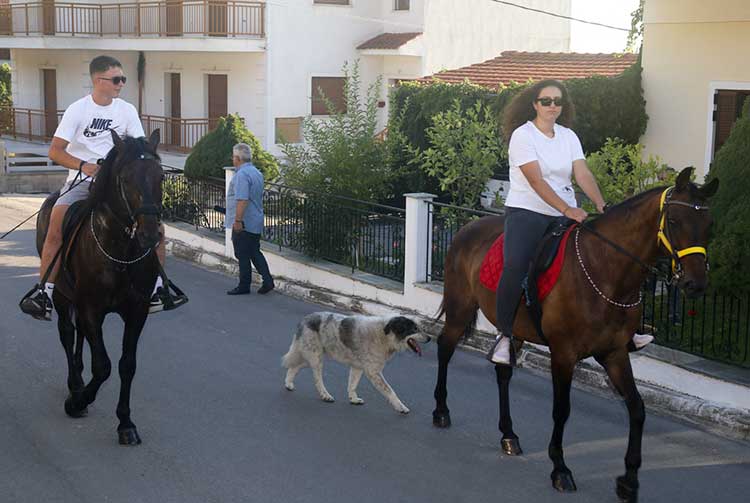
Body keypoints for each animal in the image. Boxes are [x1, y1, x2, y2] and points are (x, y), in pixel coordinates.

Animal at [36, 129, 164, 444]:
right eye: (126, 179)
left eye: (161, 177)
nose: (149, 234)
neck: (122, 252)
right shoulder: (91, 309)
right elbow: (103, 366)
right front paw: (78, 401)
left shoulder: (136, 311)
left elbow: (127, 365)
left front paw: (125, 423)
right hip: (63, 296)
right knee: (67, 334)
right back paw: (74, 385)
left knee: (78, 335)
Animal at [282, 314, 432, 416]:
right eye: (415, 328)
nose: (430, 338)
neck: (385, 335)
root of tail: (305, 319)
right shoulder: (373, 372)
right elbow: (390, 390)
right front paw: (401, 407)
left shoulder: (358, 367)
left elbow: (352, 385)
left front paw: (353, 399)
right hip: (316, 358)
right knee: (318, 379)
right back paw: (325, 395)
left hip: (308, 356)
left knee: (293, 367)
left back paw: (288, 384)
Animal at [434, 167, 724, 502]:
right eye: (674, 221)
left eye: (709, 224)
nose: (695, 283)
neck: (606, 270)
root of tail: (466, 228)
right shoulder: (563, 354)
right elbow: (562, 410)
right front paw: (560, 469)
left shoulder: (614, 353)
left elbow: (637, 408)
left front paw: (629, 480)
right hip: (460, 310)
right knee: (445, 347)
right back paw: (441, 411)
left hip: (514, 330)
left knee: (503, 371)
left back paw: (509, 435)